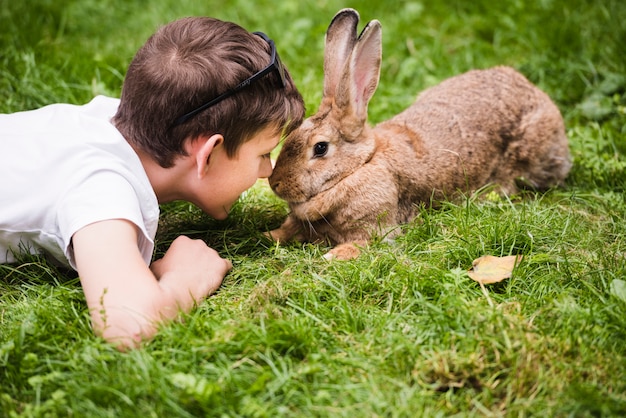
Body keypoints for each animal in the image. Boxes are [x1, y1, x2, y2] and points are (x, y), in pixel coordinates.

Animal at [266, 8, 568, 260]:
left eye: (320, 148)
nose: (275, 183)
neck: (360, 166)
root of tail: (534, 92)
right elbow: (287, 229)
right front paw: (269, 235)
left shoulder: (377, 227)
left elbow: (363, 242)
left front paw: (332, 256)